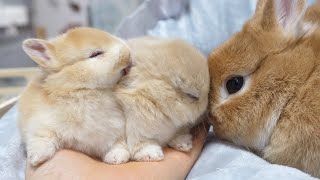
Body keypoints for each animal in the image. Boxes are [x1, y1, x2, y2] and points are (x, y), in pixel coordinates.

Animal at [18, 27, 131, 167]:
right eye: (96, 54)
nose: (128, 53)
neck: (82, 89)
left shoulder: (117, 129)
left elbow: (118, 143)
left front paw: (117, 158)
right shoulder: (39, 123)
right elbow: (42, 137)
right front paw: (37, 157)